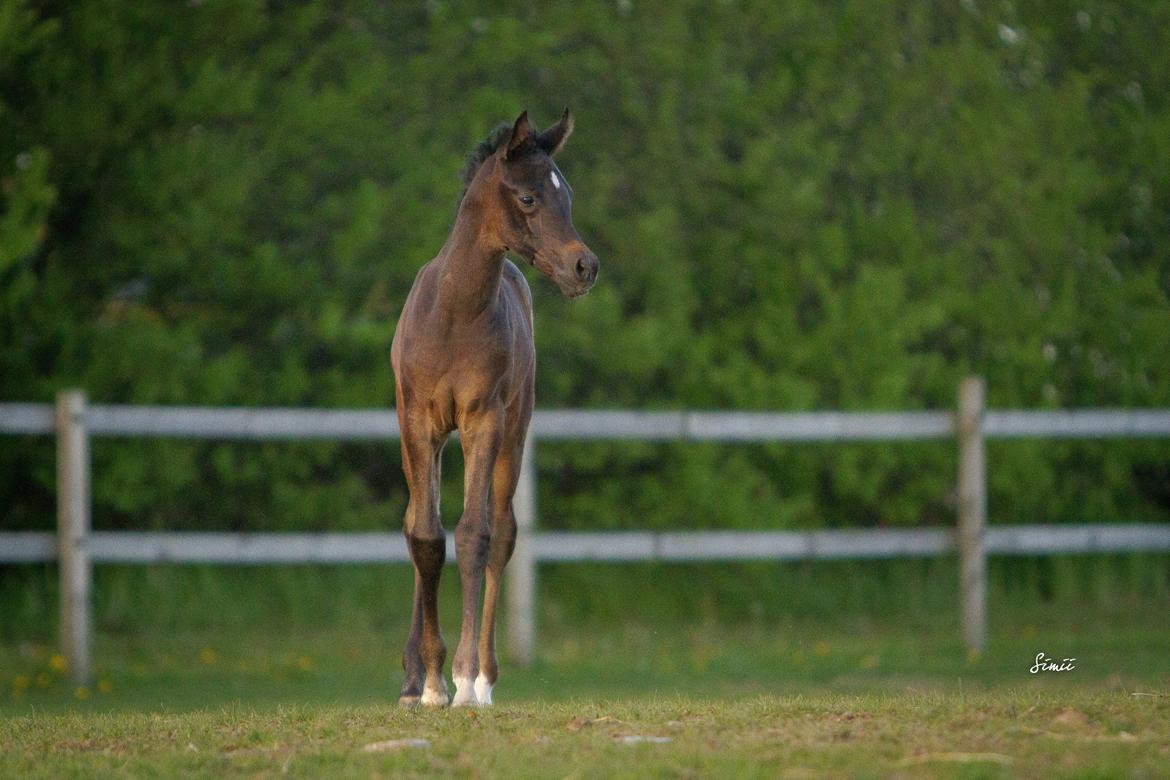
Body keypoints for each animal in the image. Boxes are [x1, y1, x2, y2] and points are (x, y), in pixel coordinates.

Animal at [390, 111, 599, 706]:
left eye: (567, 195)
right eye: (528, 197)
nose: (585, 266)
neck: (454, 314)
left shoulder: (483, 421)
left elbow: (473, 535)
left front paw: (460, 680)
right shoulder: (418, 424)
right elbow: (426, 537)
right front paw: (428, 682)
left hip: (514, 429)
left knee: (502, 532)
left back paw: (484, 678)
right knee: (416, 522)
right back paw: (413, 677)